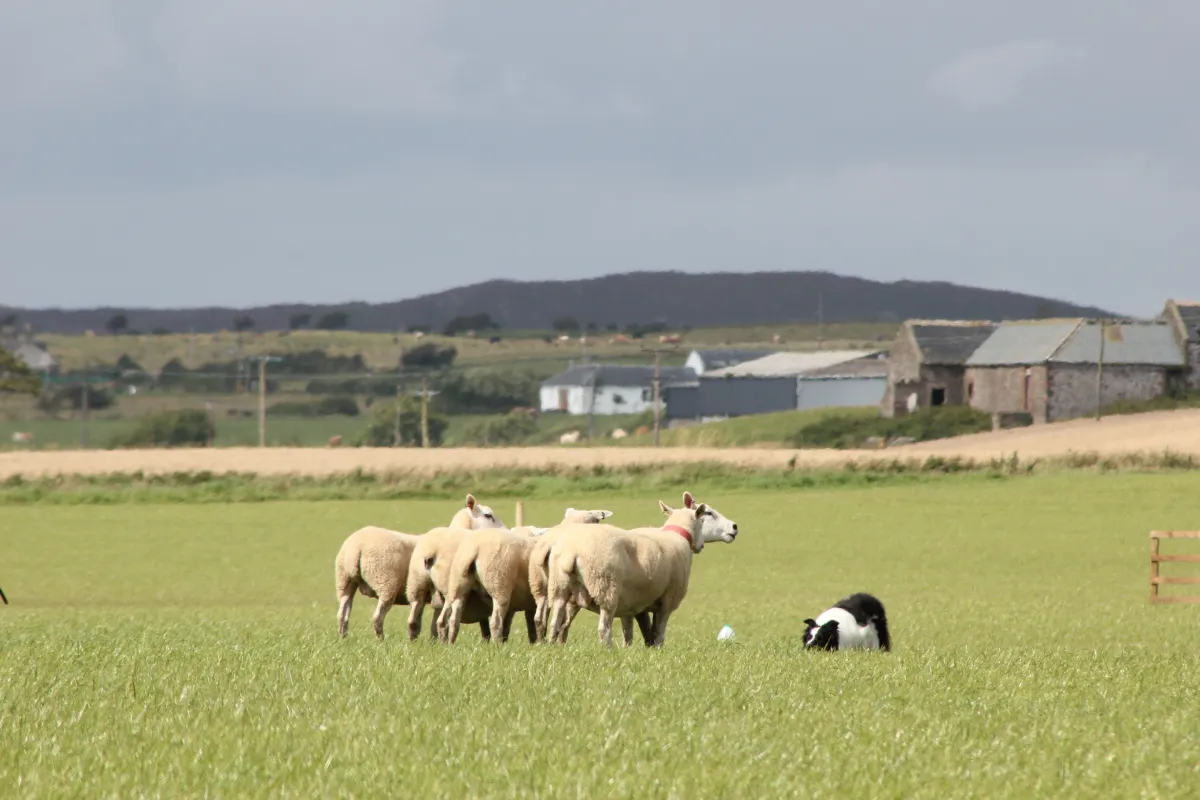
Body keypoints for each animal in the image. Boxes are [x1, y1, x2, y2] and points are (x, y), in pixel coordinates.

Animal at [334, 493, 504, 640]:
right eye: (488, 515)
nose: (505, 530)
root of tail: (357, 547)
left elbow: (433, 626)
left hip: (345, 580)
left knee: (343, 614)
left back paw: (344, 639)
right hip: (386, 583)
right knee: (377, 618)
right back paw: (381, 641)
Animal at [443, 507, 615, 645]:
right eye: (596, 520)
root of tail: (475, 548)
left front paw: (535, 642)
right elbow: (562, 621)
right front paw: (557, 642)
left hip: (459, 584)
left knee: (454, 618)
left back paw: (451, 644)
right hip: (501, 584)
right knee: (496, 621)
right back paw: (498, 646)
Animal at [546, 491, 739, 648]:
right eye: (709, 513)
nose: (734, 527)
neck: (677, 535)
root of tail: (572, 551)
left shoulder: (632, 604)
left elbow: (632, 633)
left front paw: (631, 650)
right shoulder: (667, 600)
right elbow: (658, 633)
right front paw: (658, 651)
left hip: (559, 587)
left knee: (556, 622)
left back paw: (552, 646)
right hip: (606, 588)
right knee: (604, 628)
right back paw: (609, 651)